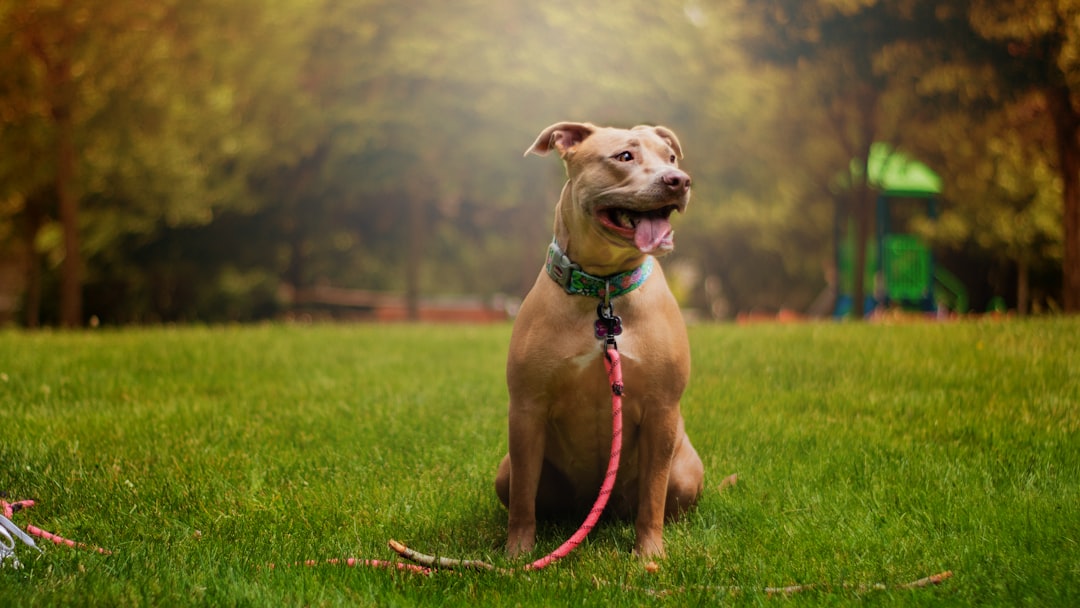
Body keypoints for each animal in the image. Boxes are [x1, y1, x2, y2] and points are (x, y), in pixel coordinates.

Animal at [494, 121, 704, 557]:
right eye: (624, 156)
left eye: (670, 158)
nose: (679, 180)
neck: (603, 289)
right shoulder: (526, 410)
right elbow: (522, 499)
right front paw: (517, 555)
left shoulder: (661, 411)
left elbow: (653, 496)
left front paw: (649, 555)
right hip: (505, 471)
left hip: (686, 471)